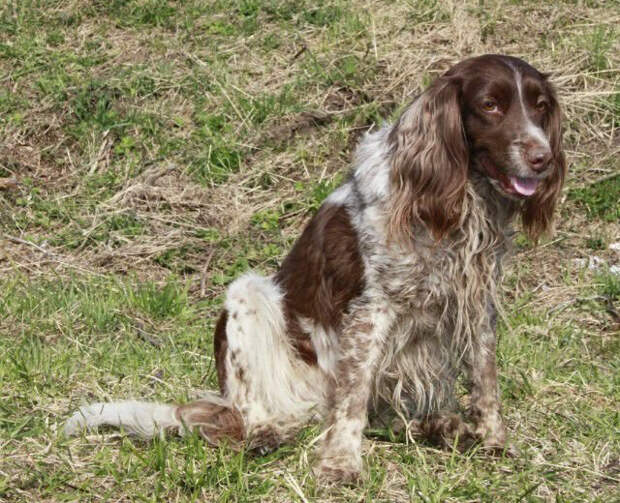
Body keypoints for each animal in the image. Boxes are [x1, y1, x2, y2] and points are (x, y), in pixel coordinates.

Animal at [65, 54, 564, 484]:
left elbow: (485, 377)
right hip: (248, 296)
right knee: (249, 416)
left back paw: (438, 426)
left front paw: (493, 440)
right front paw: (340, 464)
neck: (458, 200)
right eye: (490, 105)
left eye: (540, 106)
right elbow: (353, 397)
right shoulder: (373, 310)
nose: (543, 158)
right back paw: (267, 432)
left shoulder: (476, 300)